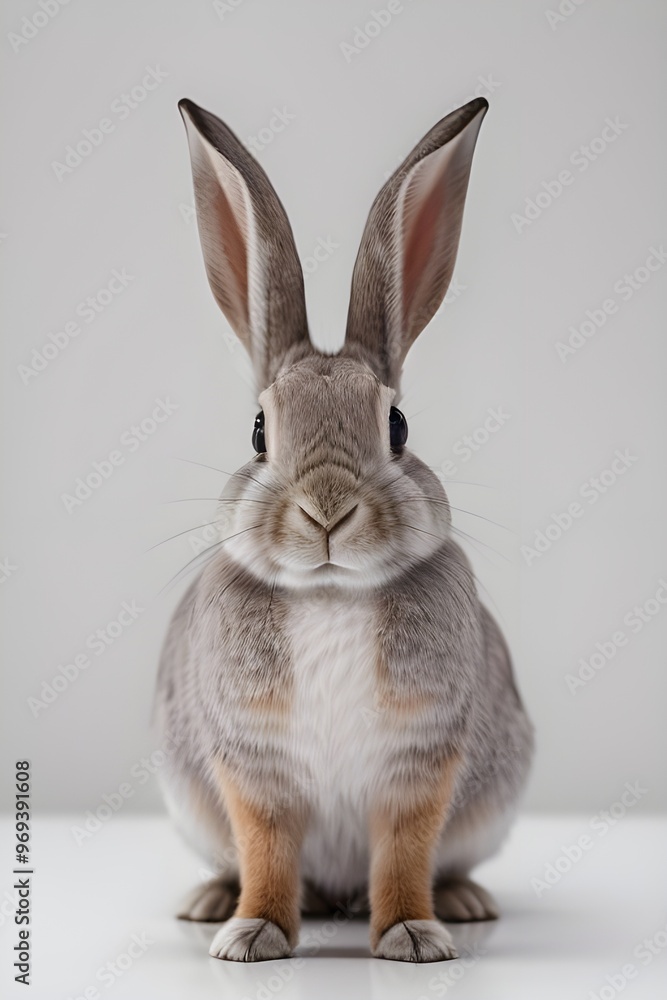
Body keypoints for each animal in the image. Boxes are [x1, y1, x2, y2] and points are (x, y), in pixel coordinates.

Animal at [154, 95, 534, 964]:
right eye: (258, 432)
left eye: (396, 425)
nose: (327, 508)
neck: (329, 595)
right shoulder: (253, 768)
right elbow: (265, 851)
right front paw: (252, 934)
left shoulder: (418, 763)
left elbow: (403, 853)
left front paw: (410, 937)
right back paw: (208, 901)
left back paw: (462, 900)